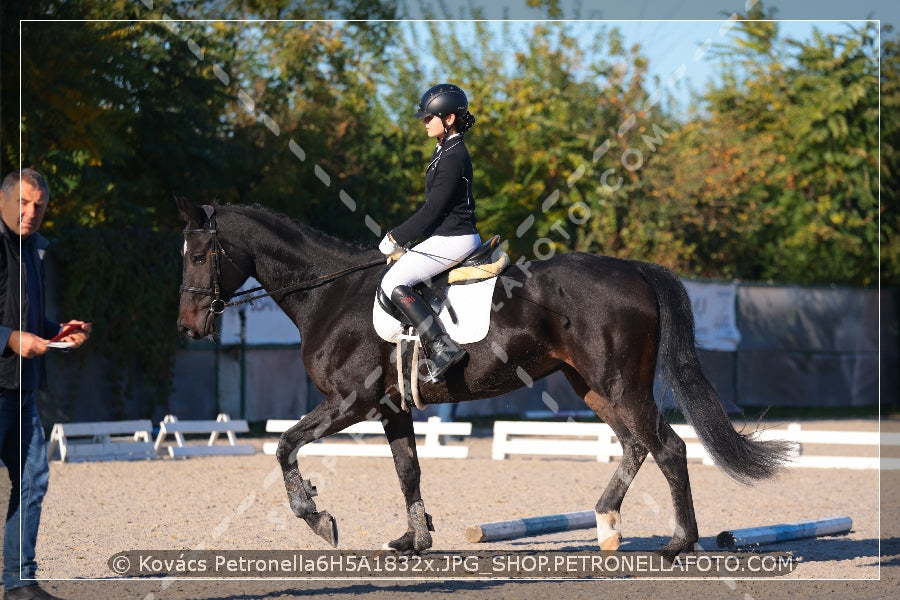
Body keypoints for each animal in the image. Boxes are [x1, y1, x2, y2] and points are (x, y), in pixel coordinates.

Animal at [174, 198, 788, 564]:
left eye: (201, 254)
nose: (189, 326)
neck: (330, 294)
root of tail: (634, 268)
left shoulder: (351, 401)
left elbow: (285, 444)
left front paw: (318, 518)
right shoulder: (390, 407)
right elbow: (408, 470)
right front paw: (414, 539)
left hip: (618, 383)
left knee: (668, 447)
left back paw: (677, 543)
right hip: (589, 385)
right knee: (637, 445)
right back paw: (607, 524)